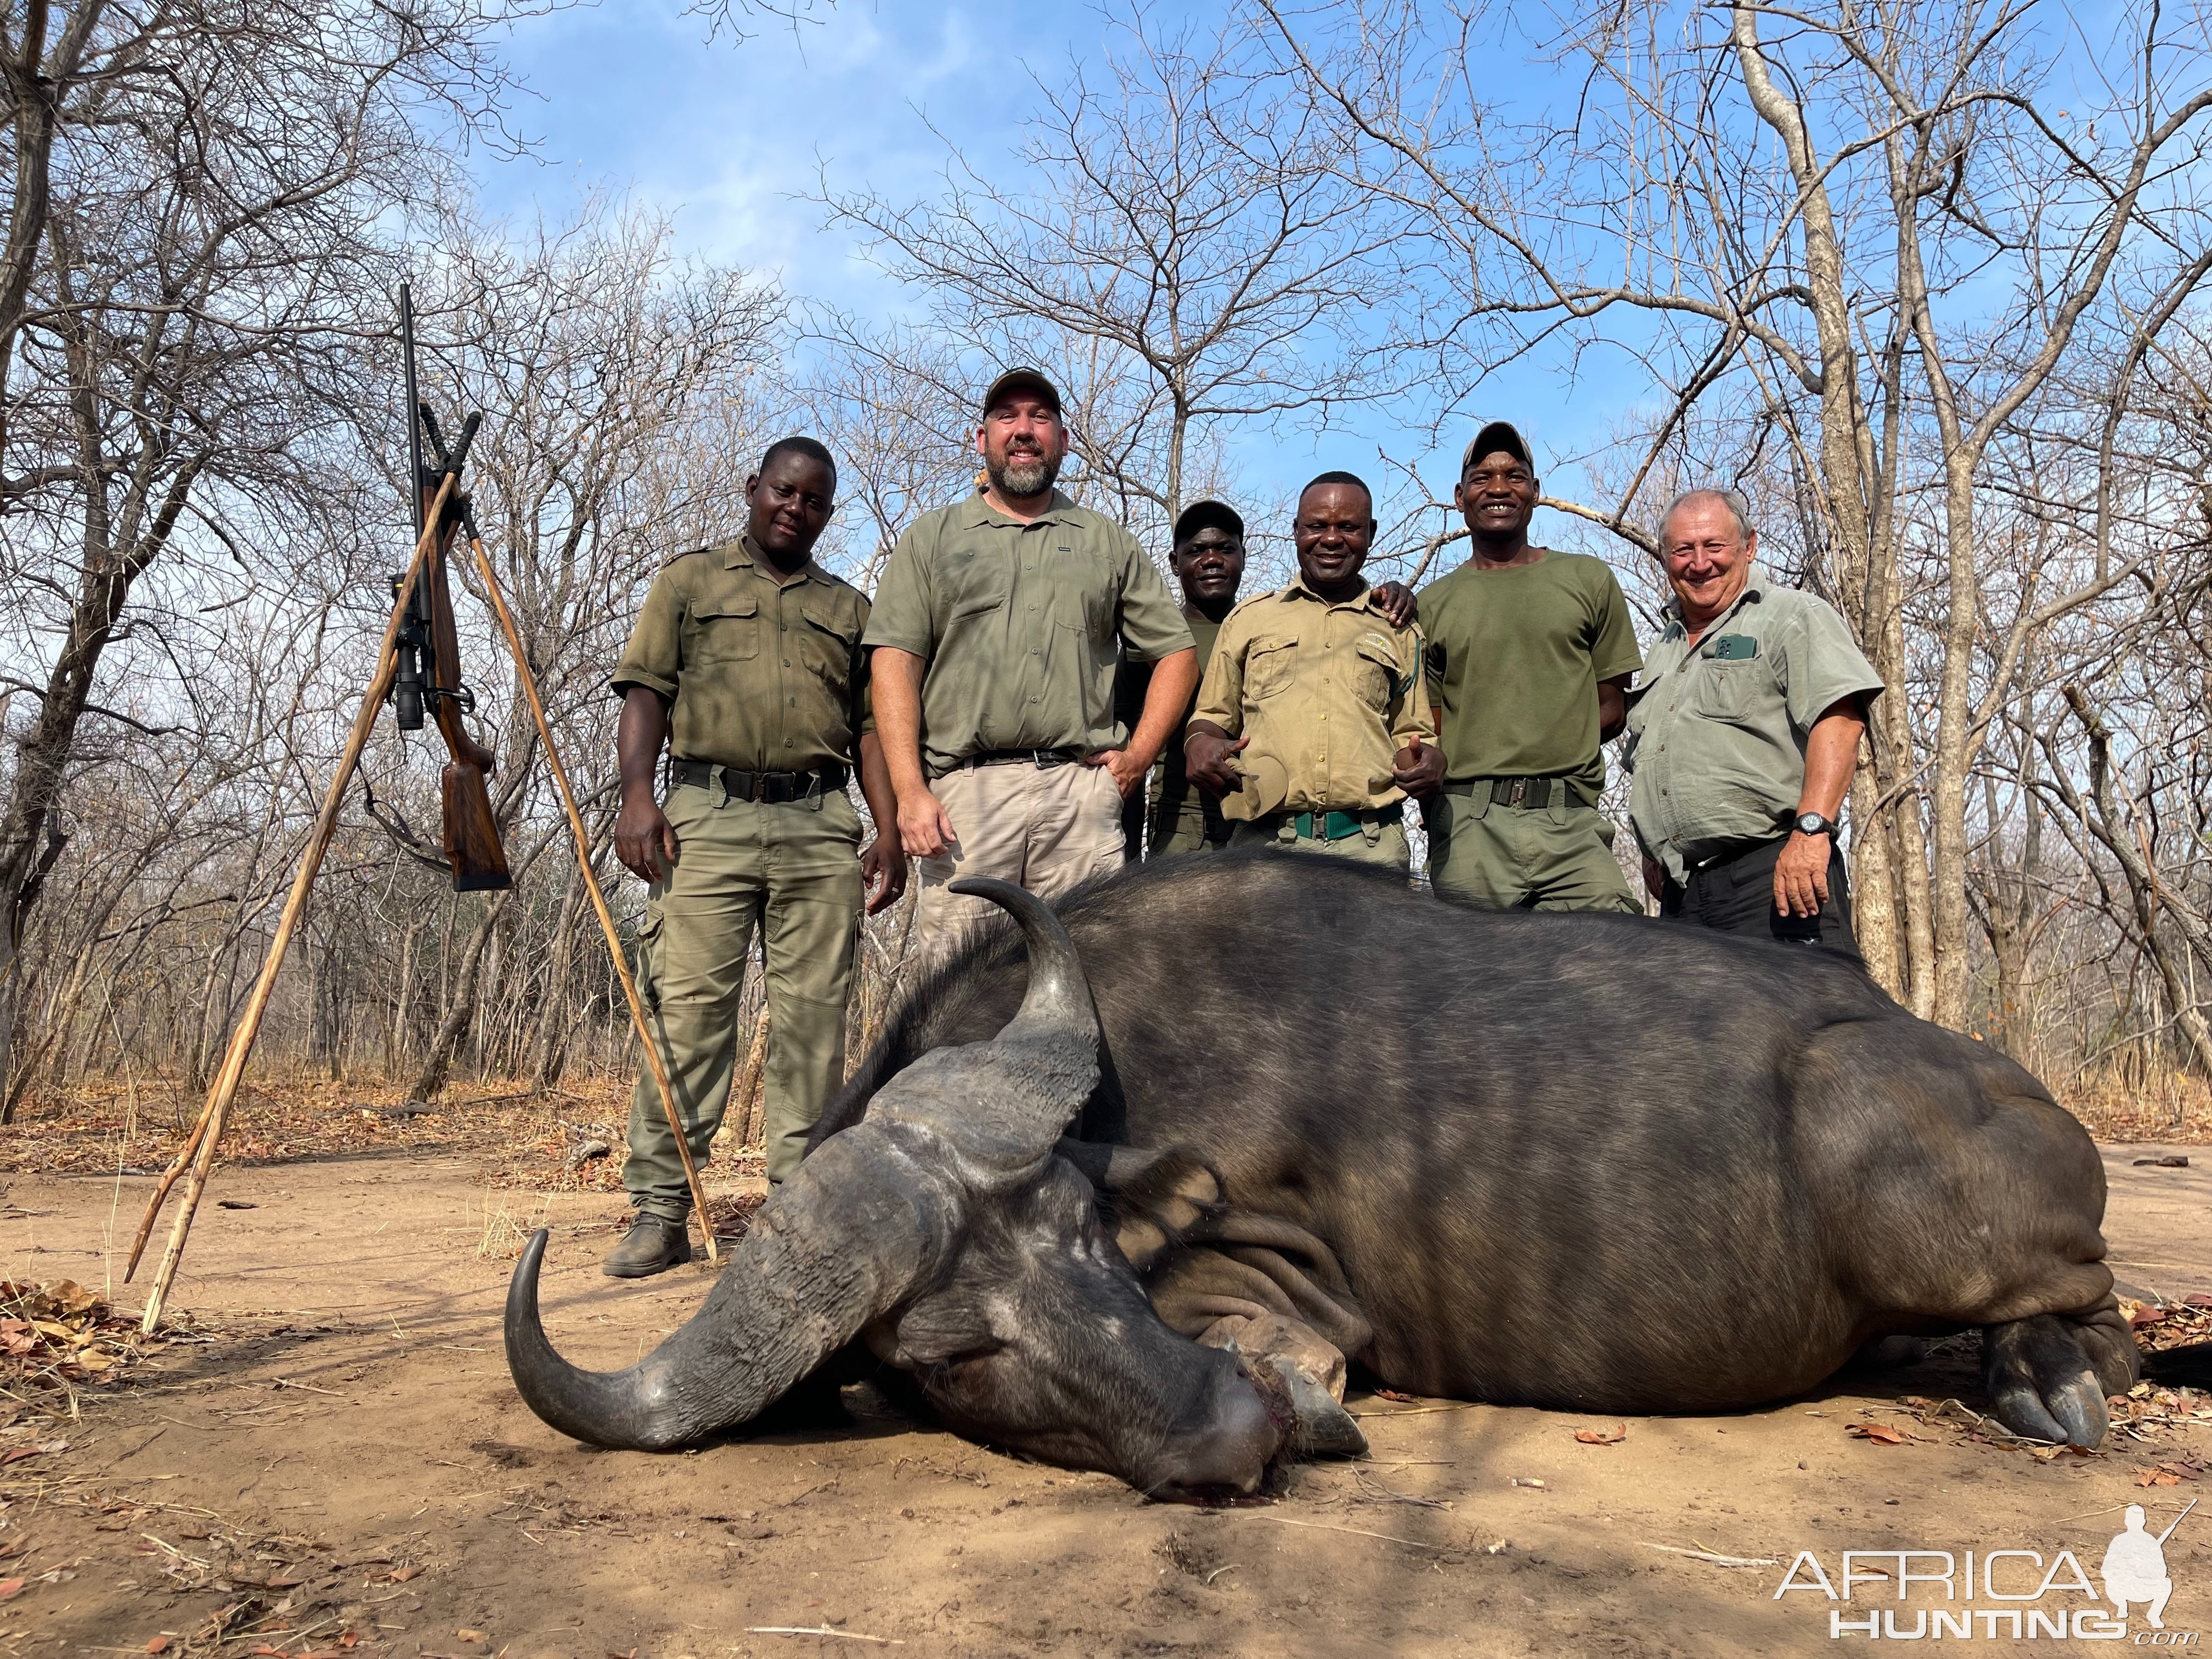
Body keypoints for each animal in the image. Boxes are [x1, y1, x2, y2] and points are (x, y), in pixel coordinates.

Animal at [506, 858, 2212, 1504]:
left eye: (1086, 1244)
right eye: (957, 1352)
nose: (1233, 1426)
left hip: (1918, 1183)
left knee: (2100, 1317)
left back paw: (2050, 1384)